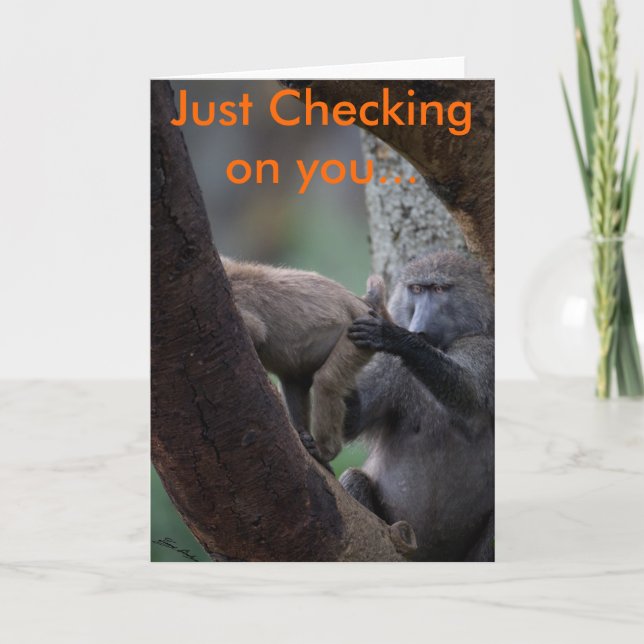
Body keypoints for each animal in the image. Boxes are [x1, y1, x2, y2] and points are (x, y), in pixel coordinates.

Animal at [221, 257, 387, 465]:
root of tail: (360, 303)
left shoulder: (235, 299)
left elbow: (257, 332)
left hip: (359, 335)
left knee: (326, 381)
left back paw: (326, 451)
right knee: (293, 381)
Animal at [340, 251, 494, 561]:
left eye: (439, 289)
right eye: (416, 290)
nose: (418, 327)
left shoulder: (485, 350)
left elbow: (470, 398)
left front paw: (395, 337)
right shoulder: (387, 365)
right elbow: (348, 421)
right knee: (353, 479)